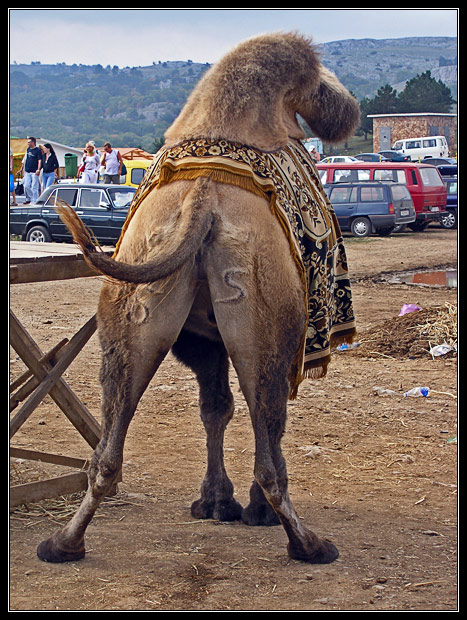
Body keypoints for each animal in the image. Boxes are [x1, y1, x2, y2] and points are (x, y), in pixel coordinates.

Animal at [37, 34, 358, 568]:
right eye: (322, 84)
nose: (348, 108)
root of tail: (203, 198)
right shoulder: (275, 346)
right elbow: (255, 420)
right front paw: (242, 507)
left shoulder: (202, 340)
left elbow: (215, 408)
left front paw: (214, 502)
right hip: (265, 329)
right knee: (269, 443)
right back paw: (307, 543)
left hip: (131, 319)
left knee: (106, 453)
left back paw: (63, 543)